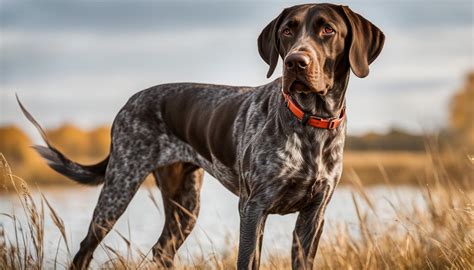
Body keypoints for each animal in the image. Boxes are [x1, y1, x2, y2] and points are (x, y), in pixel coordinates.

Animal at [17, 2, 386, 270]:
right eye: (287, 30)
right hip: (119, 188)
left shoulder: (313, 216)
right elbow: (247, 262)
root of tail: (129, 103)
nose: (296, 62)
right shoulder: (253, 209)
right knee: (85, 249)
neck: (311, 123)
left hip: (185, 204)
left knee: (162, 251)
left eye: (328, 29)